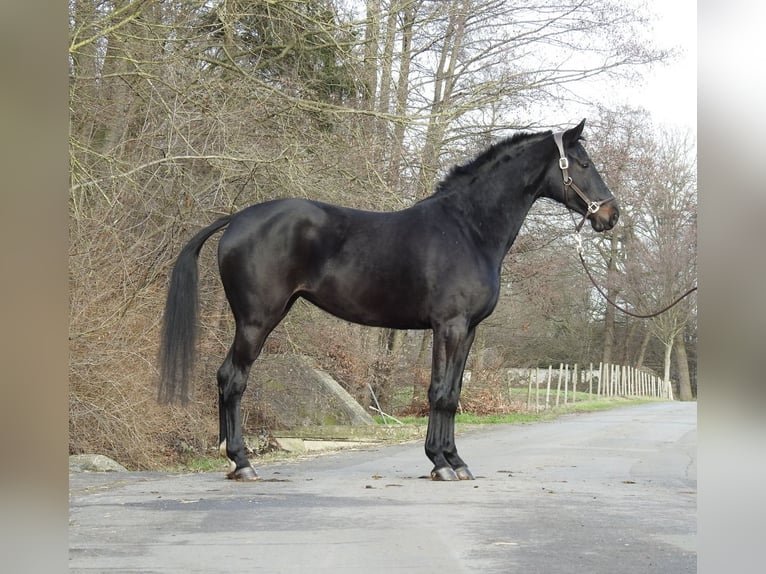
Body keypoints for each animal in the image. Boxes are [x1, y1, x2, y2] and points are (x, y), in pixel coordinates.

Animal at [159, 118, 619, 481]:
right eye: (583, 163)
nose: (610, 215)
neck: (468, 229)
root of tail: (236, 218)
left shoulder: (467, 330)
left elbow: (453, 392)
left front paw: (454, 460)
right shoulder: (449, 325)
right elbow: (439, 392)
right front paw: (440, 463)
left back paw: (232, 460)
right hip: (256, 320)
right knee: (233, 378)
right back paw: (242, 462)